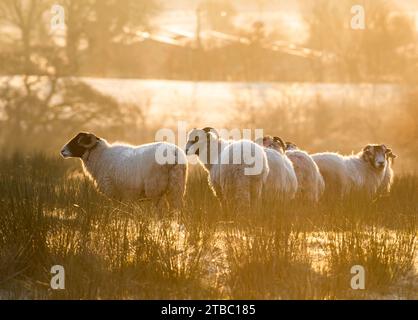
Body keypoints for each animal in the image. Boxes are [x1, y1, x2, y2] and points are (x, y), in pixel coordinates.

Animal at [60, 131, 188, 209]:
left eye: (79, 140)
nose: (62, 151)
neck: (101, 156)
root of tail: (174, 154)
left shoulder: (114, 193)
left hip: (155, 189)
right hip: (177, 187)